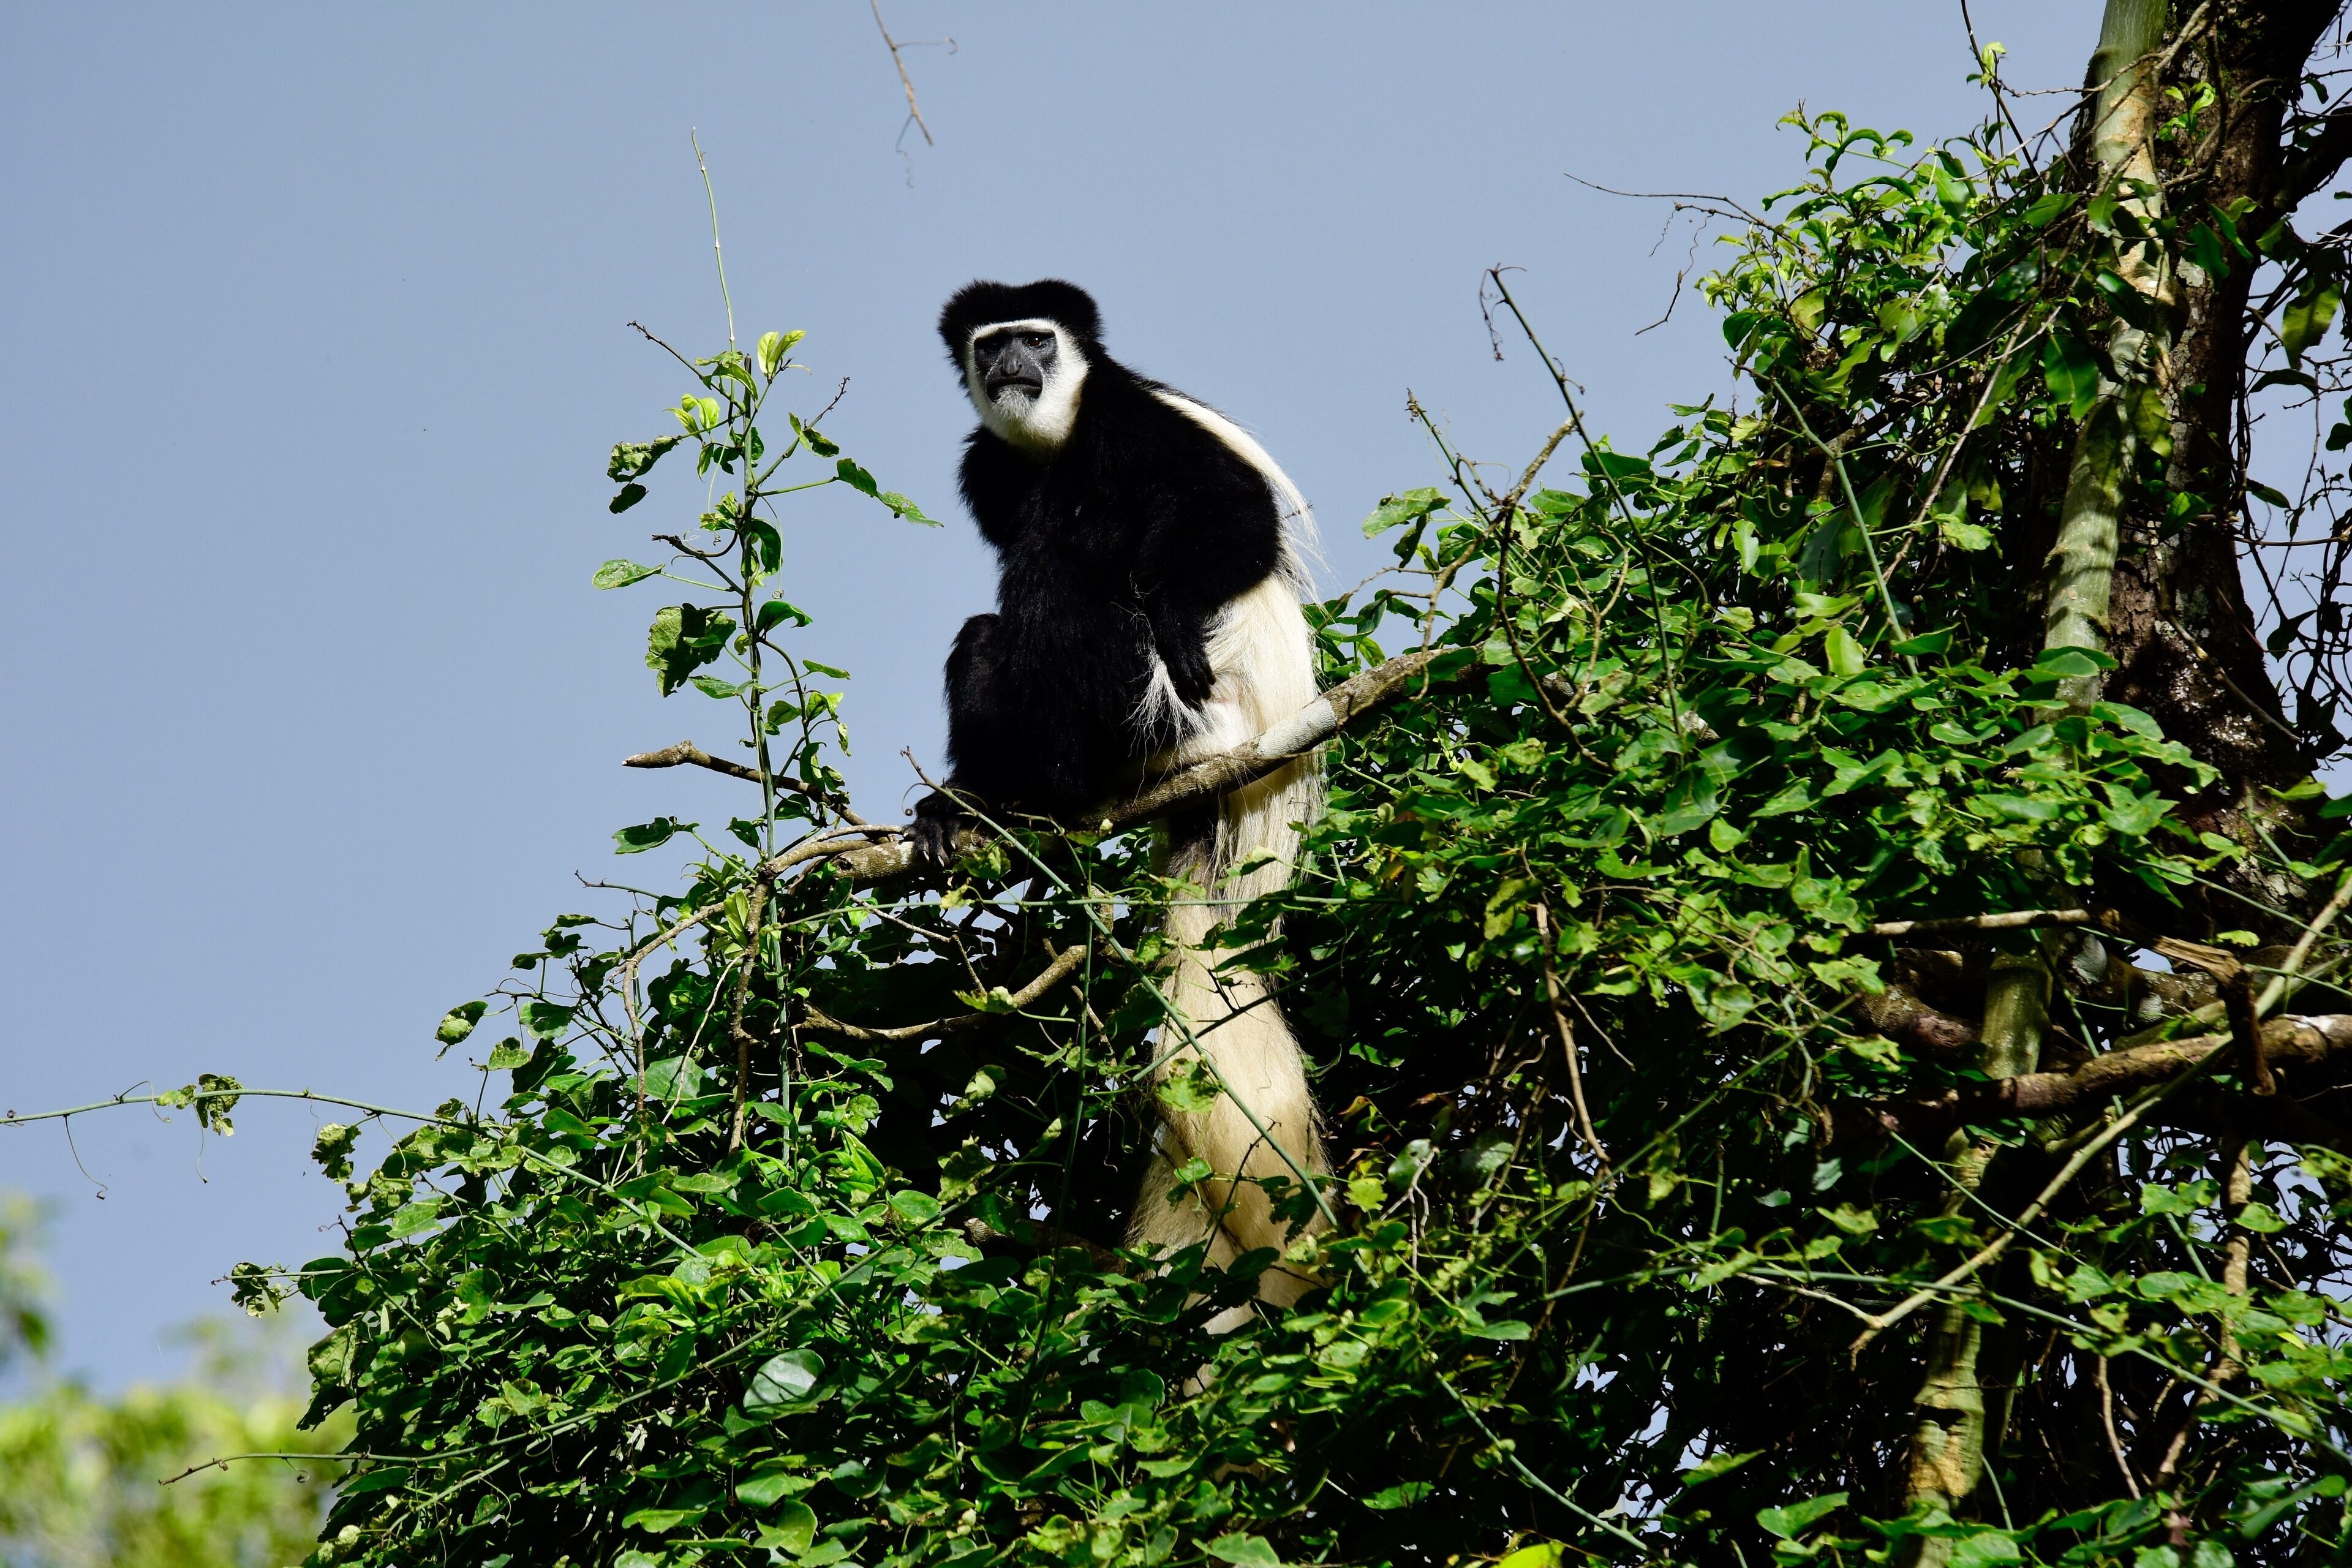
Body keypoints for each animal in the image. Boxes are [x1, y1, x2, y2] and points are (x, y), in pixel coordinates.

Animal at [915, 279, 1326, 1315]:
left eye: (1037, 339)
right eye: (991, 344)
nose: (1009, 365)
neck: (1053, 437)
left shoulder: (1130, 419)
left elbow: (1239, 515)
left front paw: (1176, 606)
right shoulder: (987, 465)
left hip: (1162, 714)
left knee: (1057, 579)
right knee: (988, 634)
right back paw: (977, 807)